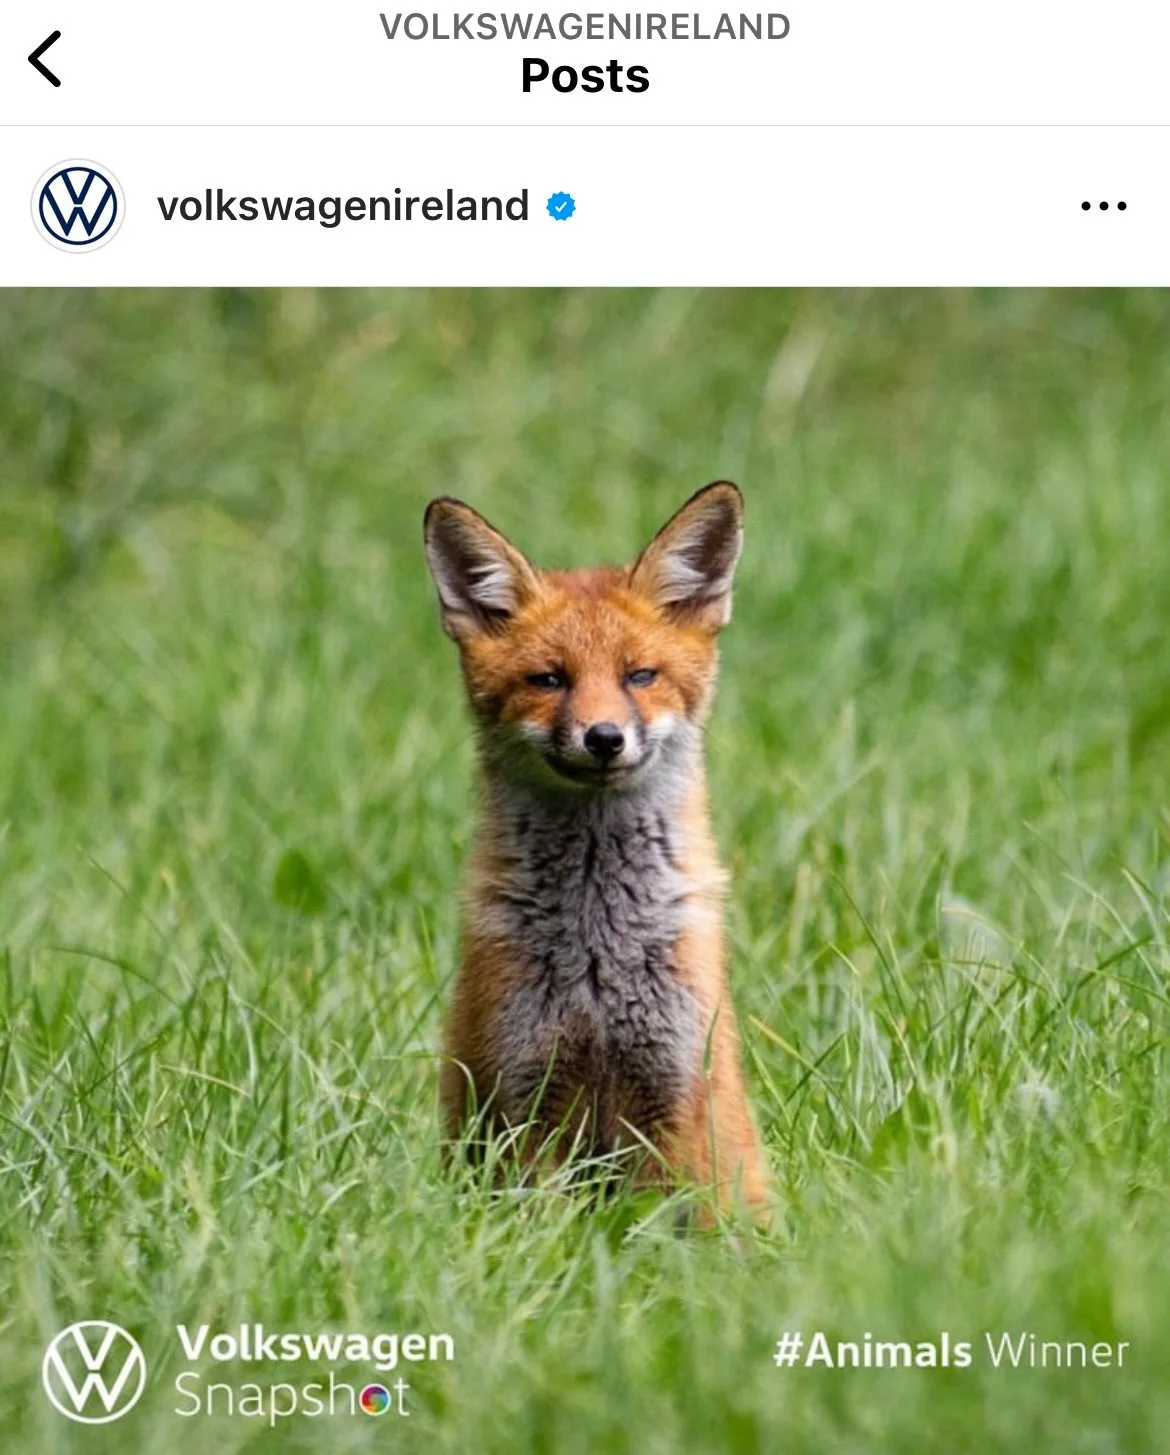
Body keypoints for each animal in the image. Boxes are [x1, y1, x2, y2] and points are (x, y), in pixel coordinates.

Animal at [423, 481, 769, 1217]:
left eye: (641, 675)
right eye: (549, 680)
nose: (604, 738)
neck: (598, 943)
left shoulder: (671, 1094)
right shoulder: (526, 1098)